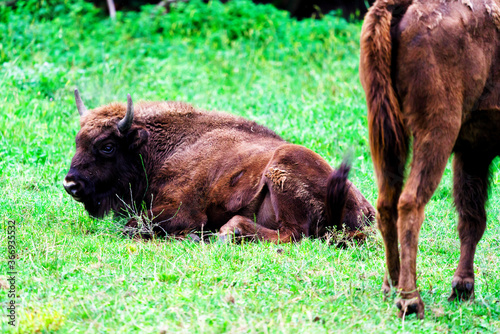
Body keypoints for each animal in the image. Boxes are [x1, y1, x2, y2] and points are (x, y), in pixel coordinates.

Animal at [63, 90, 376, 244]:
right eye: (77, 141)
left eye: (107, 146)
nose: (71, 184)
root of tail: (364, 208)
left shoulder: (182, 211)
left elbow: (134, 225)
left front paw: (191, 236)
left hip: (281, 171)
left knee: (291, 234)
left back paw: (227, 233)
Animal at [362, 0, 498, 320]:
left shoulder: (474, 152)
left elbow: (472, 218)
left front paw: (462, 288)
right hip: (437, 130)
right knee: (410, 202)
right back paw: (411, 301)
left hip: (388, 135)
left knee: (387, 202)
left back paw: (392, 285)